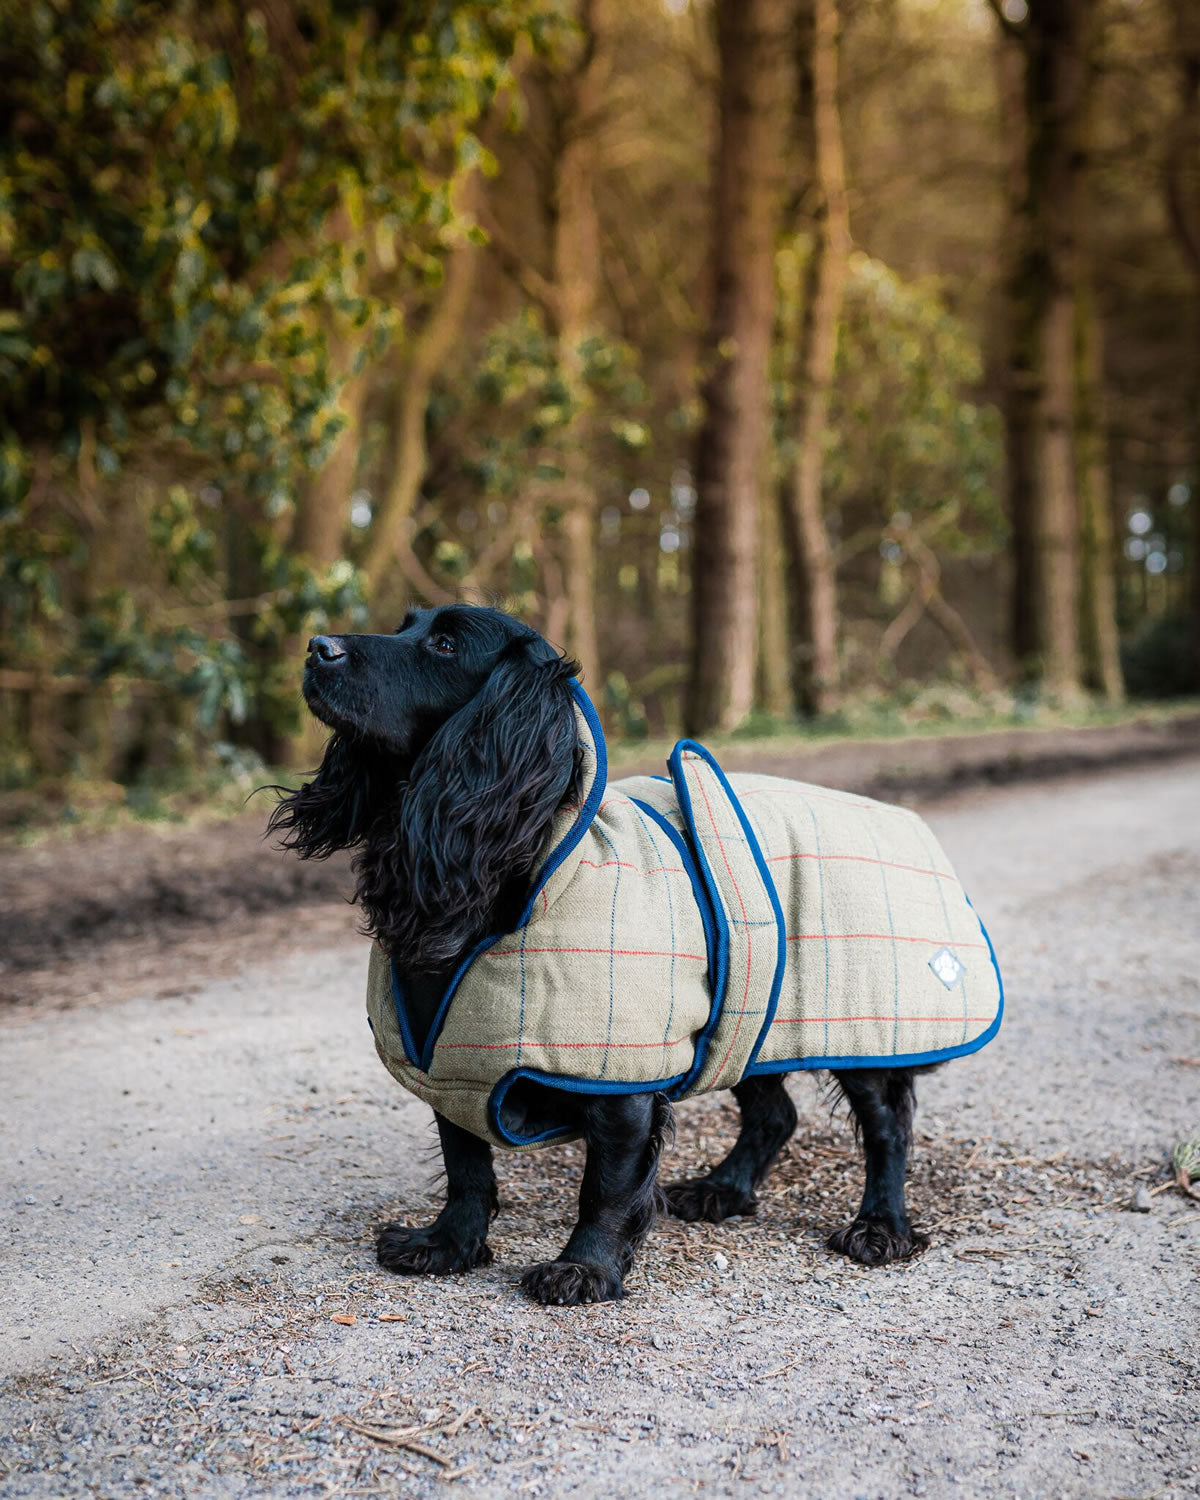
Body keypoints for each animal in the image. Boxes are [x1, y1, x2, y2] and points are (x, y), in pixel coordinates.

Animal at [270, 603, 930, 1308]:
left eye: (445, 645)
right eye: (405, 626)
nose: (316, 647)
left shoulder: (620, 1081)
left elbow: (606, 1188)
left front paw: (584, 1268)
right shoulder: (453, 1063)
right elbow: (465, 1164)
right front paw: (446, 1244)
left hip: (859, 1028)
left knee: (887, 1126)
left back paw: (880, 1227)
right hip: (749, 1022)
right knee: (774, 1112)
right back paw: (721, 1190)